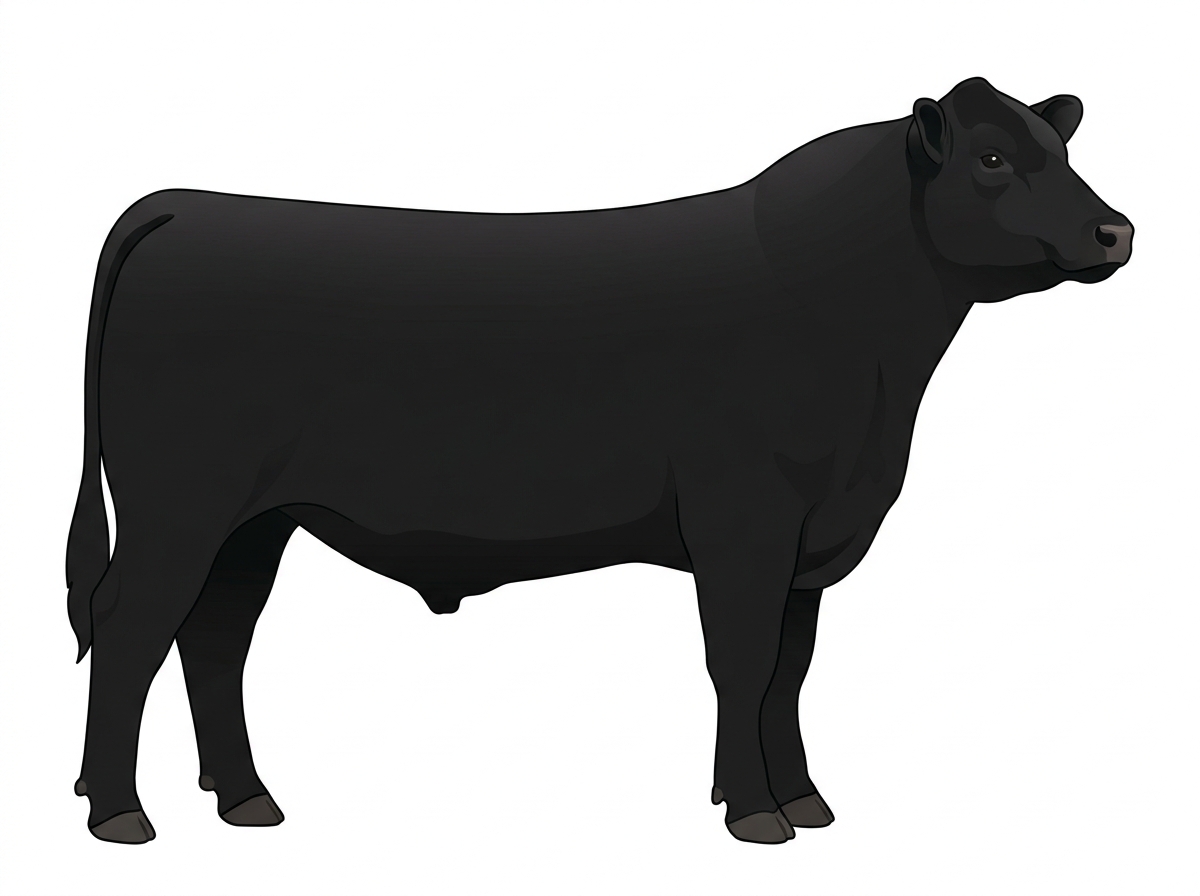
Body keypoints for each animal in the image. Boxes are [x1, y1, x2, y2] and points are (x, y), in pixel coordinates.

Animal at [66, 77, 1132, 844]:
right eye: (991, 158)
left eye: (1062, 150)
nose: (1115, 229)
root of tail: (186, 205)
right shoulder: (745, 522)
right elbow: (743, 663)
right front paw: (755, 812)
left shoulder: (809, 542)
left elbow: (790, 672)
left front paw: (803, 798)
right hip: (179, 504)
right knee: (130, 626)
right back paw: (120, 813)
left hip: (253, 520)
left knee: (214, 636)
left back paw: (246, 799)